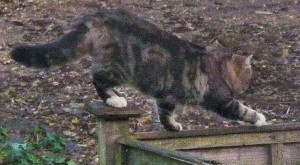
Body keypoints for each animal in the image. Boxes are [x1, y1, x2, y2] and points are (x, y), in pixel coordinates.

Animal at [9, 8, 268, 131]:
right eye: (249, 75)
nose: (248, 85)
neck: (217, 63)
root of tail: (97, 16)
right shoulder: (220, 99)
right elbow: (242, 110)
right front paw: (260, 118)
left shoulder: (167, 96)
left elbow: (165, 115)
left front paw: (172, 127)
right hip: (119, 67)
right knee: (97, 78)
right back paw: (114, 99)